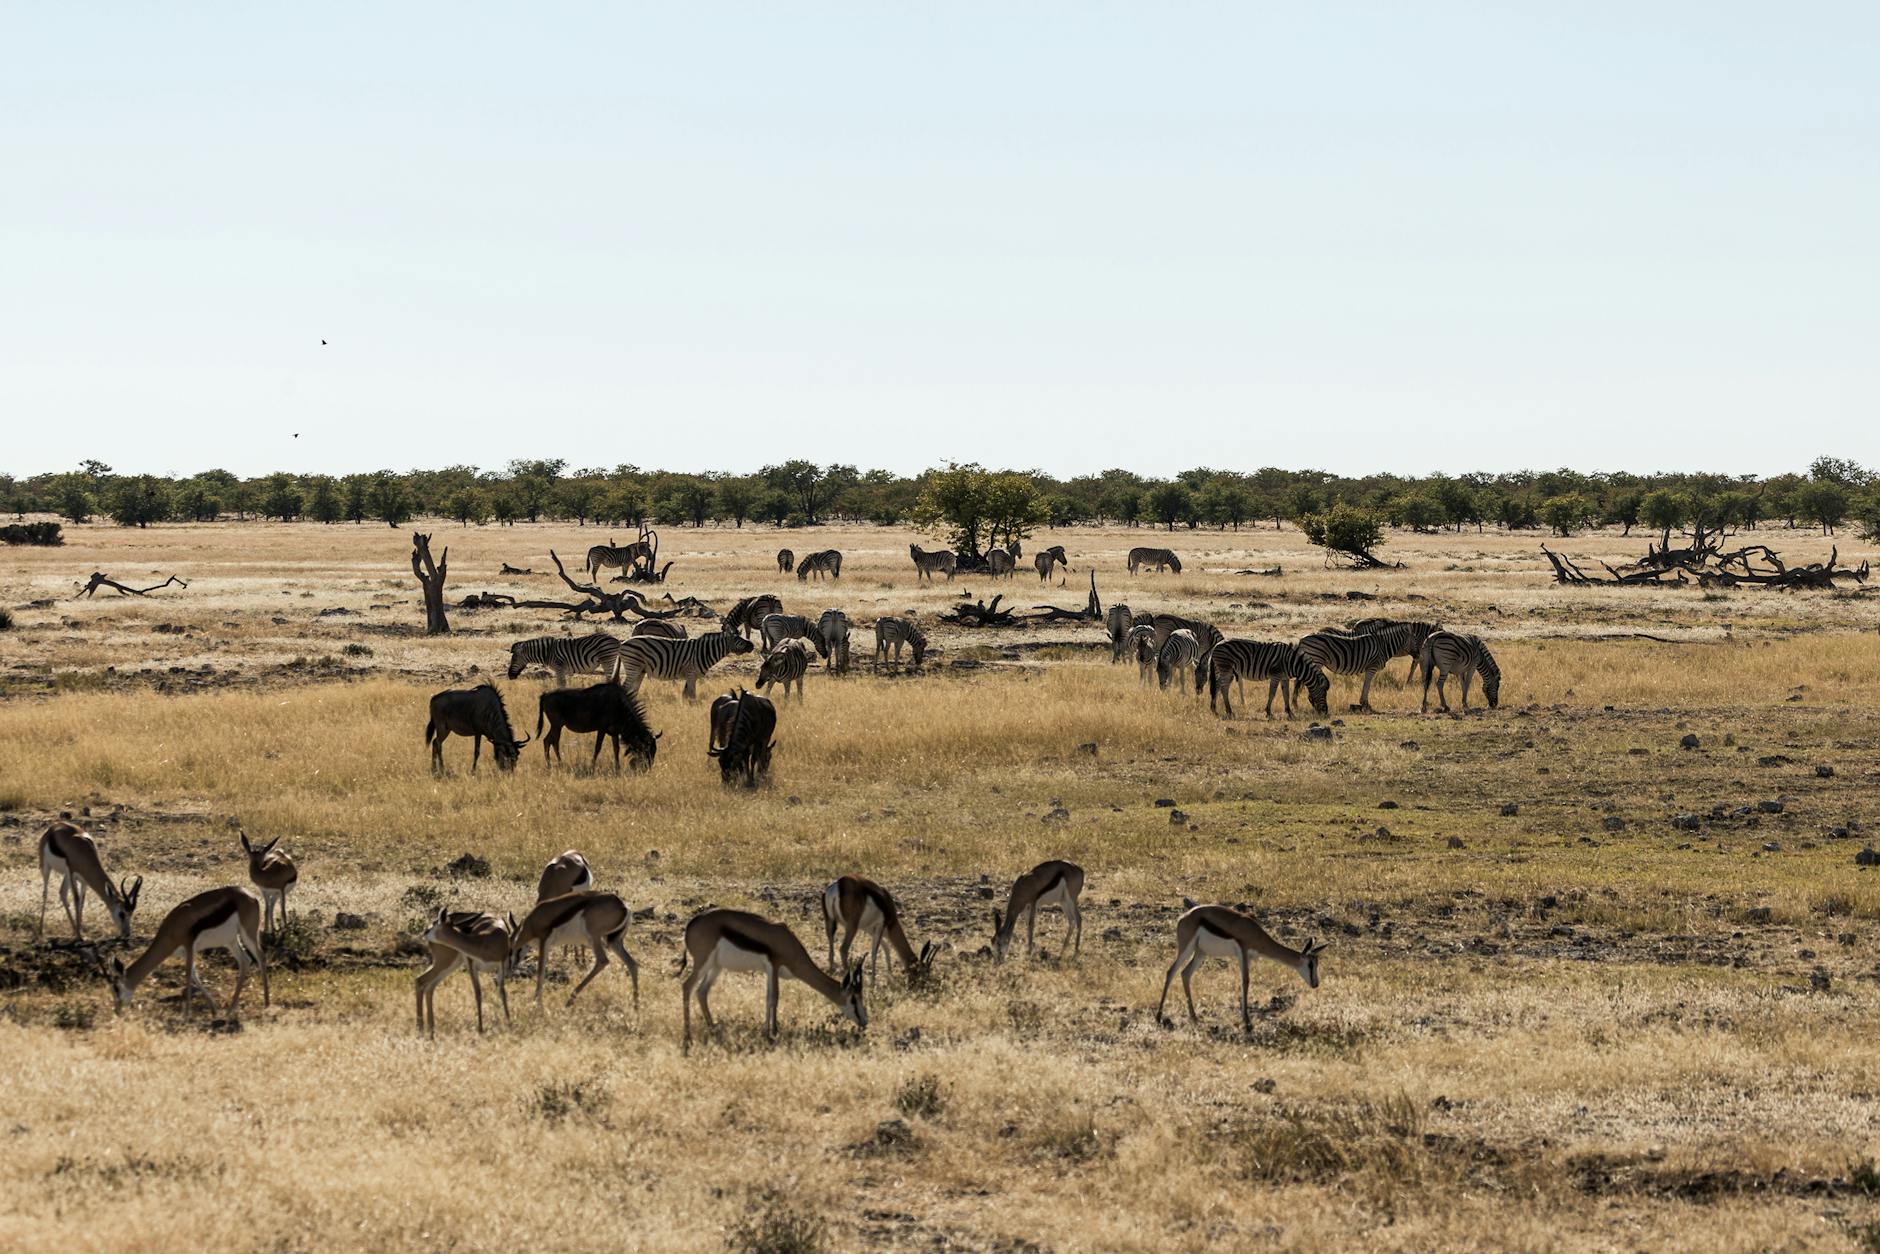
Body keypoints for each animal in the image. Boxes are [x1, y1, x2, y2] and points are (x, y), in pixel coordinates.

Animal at [614, 626, 754, 700]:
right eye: (737, 639)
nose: (752, 645)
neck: (705, 651)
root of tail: (623, 643)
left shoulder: (691, 675)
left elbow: (686, 694)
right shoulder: (691, 672)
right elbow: (692, 694)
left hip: (640, 670)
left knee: (633, 690)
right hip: (633, 666)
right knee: (625, 688)